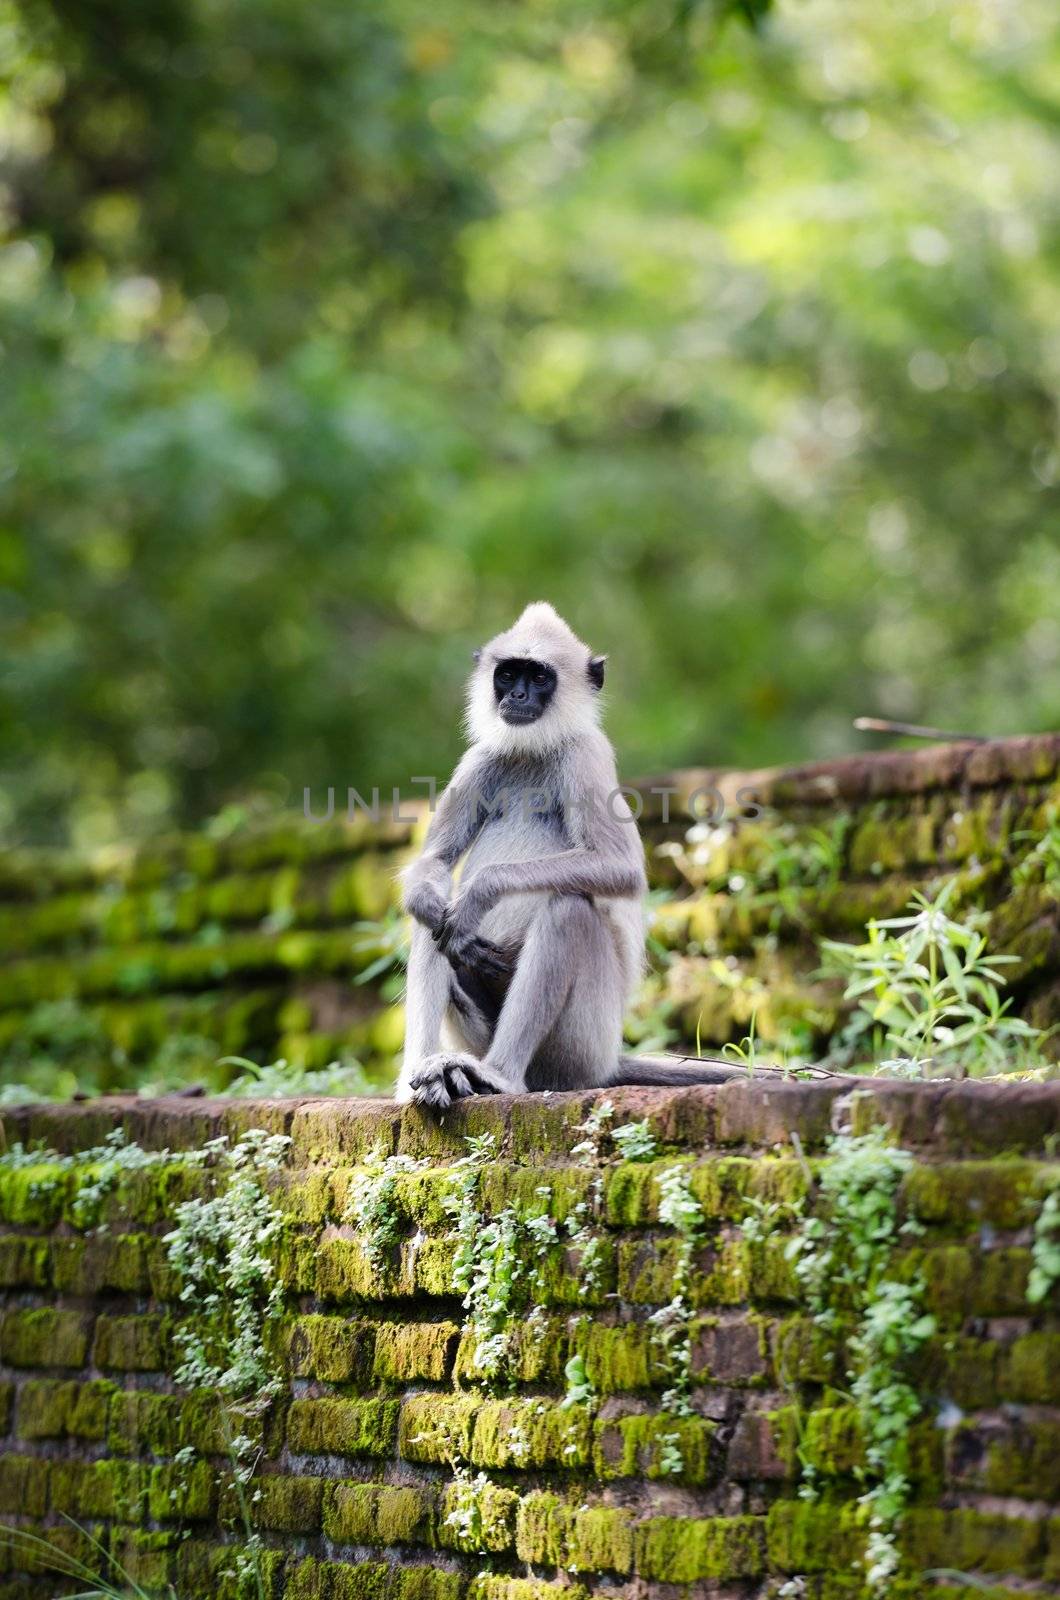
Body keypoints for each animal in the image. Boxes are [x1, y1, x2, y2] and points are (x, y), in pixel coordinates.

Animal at [393, 601, 742, 1113]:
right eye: (508, 674)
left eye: (539, 677)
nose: (518, 694)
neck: (534, 751)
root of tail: (609, 1061)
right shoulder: (480, 759)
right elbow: (436, 863)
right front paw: (439, 901)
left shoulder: (585, 755)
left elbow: (620, 869)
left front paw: (479, 893)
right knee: (431, 918)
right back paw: (422, 1078)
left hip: (582, 1042)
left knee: (569, 909)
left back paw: (498, 1076)